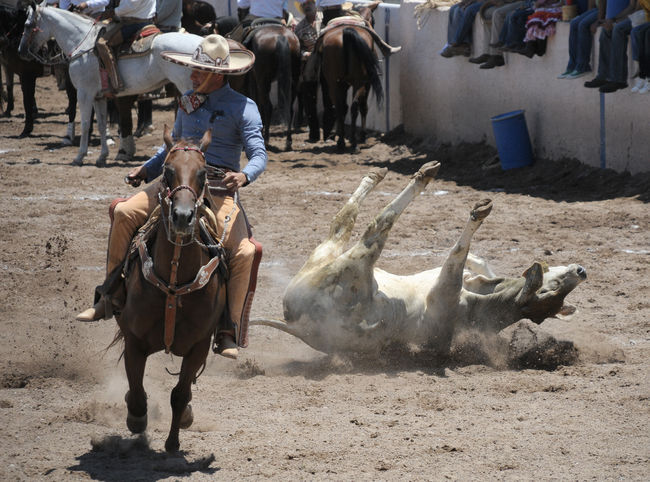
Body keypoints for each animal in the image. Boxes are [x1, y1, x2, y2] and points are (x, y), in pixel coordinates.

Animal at [19, 3, 202, 166]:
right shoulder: (99, 97)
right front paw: (102, 157)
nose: (21, 51)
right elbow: (101, 125)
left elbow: (85, 124)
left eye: (28, 25)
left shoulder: (84, 93)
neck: (82, 44)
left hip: (187, 89)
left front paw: (79, 157)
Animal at [112, 125, 227, 452]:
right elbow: (137, 393)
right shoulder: (134, 340)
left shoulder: (199, 346)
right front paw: (136, 421)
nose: (183, 216)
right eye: (167, 170)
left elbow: (179, 394)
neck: (174, 283)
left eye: (203, 173)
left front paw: (174, 440)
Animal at [243, 21, 300, 151]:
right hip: (294, 80)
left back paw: (266, 139)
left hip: (263, 81)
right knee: (289, 108)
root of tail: (281, 37)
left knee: (267, 106)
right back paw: (288, 141)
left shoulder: (254, 79)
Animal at [251, 162, 586, 357]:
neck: (482, 303)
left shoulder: (446, 287)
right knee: (347, 220)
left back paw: (419, 176)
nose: (581, 271)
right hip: (327, 255)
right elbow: (473, 258)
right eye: (555, 286)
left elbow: (457, 253)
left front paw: (477, 213)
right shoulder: (455, 277)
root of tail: (298, 324)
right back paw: (384, 174)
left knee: (372, 223)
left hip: (352, 261)